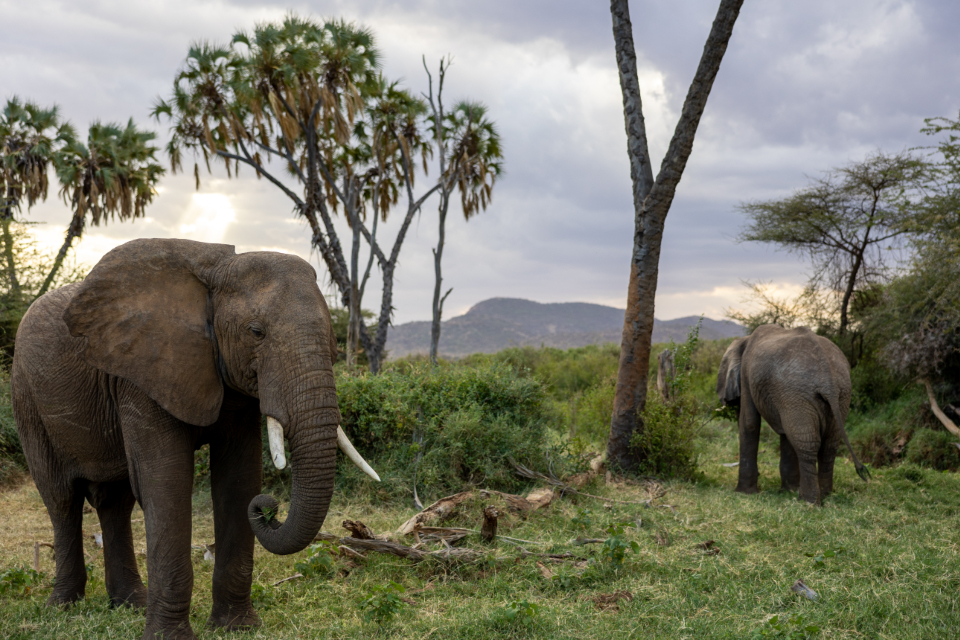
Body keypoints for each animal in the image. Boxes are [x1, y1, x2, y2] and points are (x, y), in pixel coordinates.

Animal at [11, 238, 379, 639]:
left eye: (333, 337)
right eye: (256, 332)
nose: (269, 507)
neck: (215, 273)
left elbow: (238, 480)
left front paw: (236, 627)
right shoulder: (142, 373)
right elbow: (166, 483)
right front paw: (168, 637)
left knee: (115, 502)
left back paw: (131, 604)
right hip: (27, 397)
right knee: (62, 499)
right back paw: (63, 606)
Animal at [716, 324, 869, 504]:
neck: (745, 340)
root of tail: (828, 381)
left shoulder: (748, 375)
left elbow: (750, 423)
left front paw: (744, 493)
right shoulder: (784, 398)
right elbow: (785, 433)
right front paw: (788, 491)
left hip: (798, 393)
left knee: (807, 444)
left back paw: (808, 501)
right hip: (838, 395)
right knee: (828, 445)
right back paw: (825, 496)